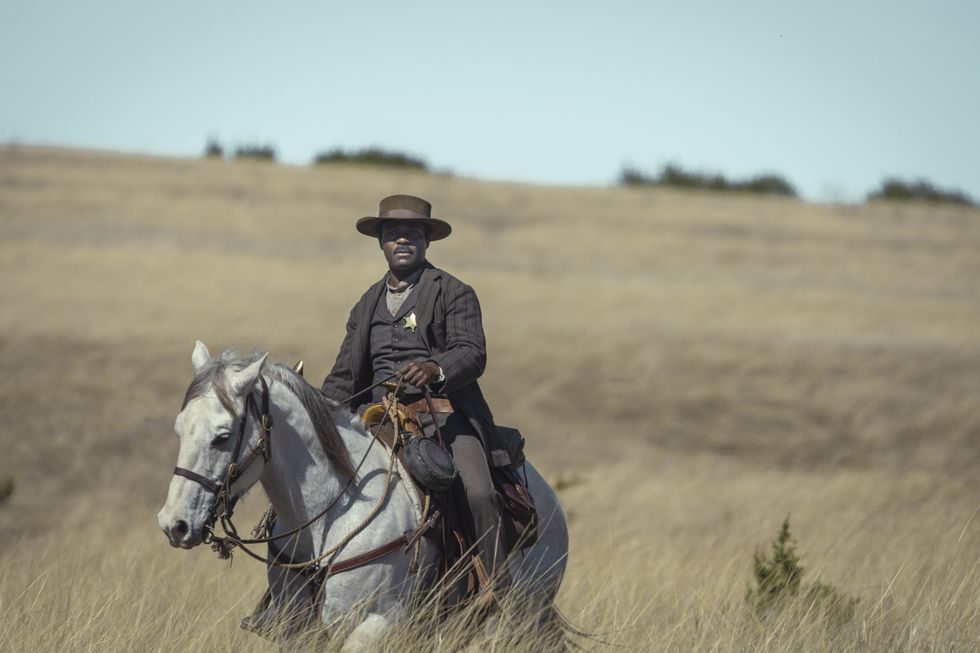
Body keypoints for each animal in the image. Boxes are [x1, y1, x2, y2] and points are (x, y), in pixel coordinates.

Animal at [153, 342, 568, 648]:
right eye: (179, 428)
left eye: (222, 436)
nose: (174, 524)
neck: (330, 515)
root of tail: (550, 502)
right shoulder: (298, 631)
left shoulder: (376, 624)